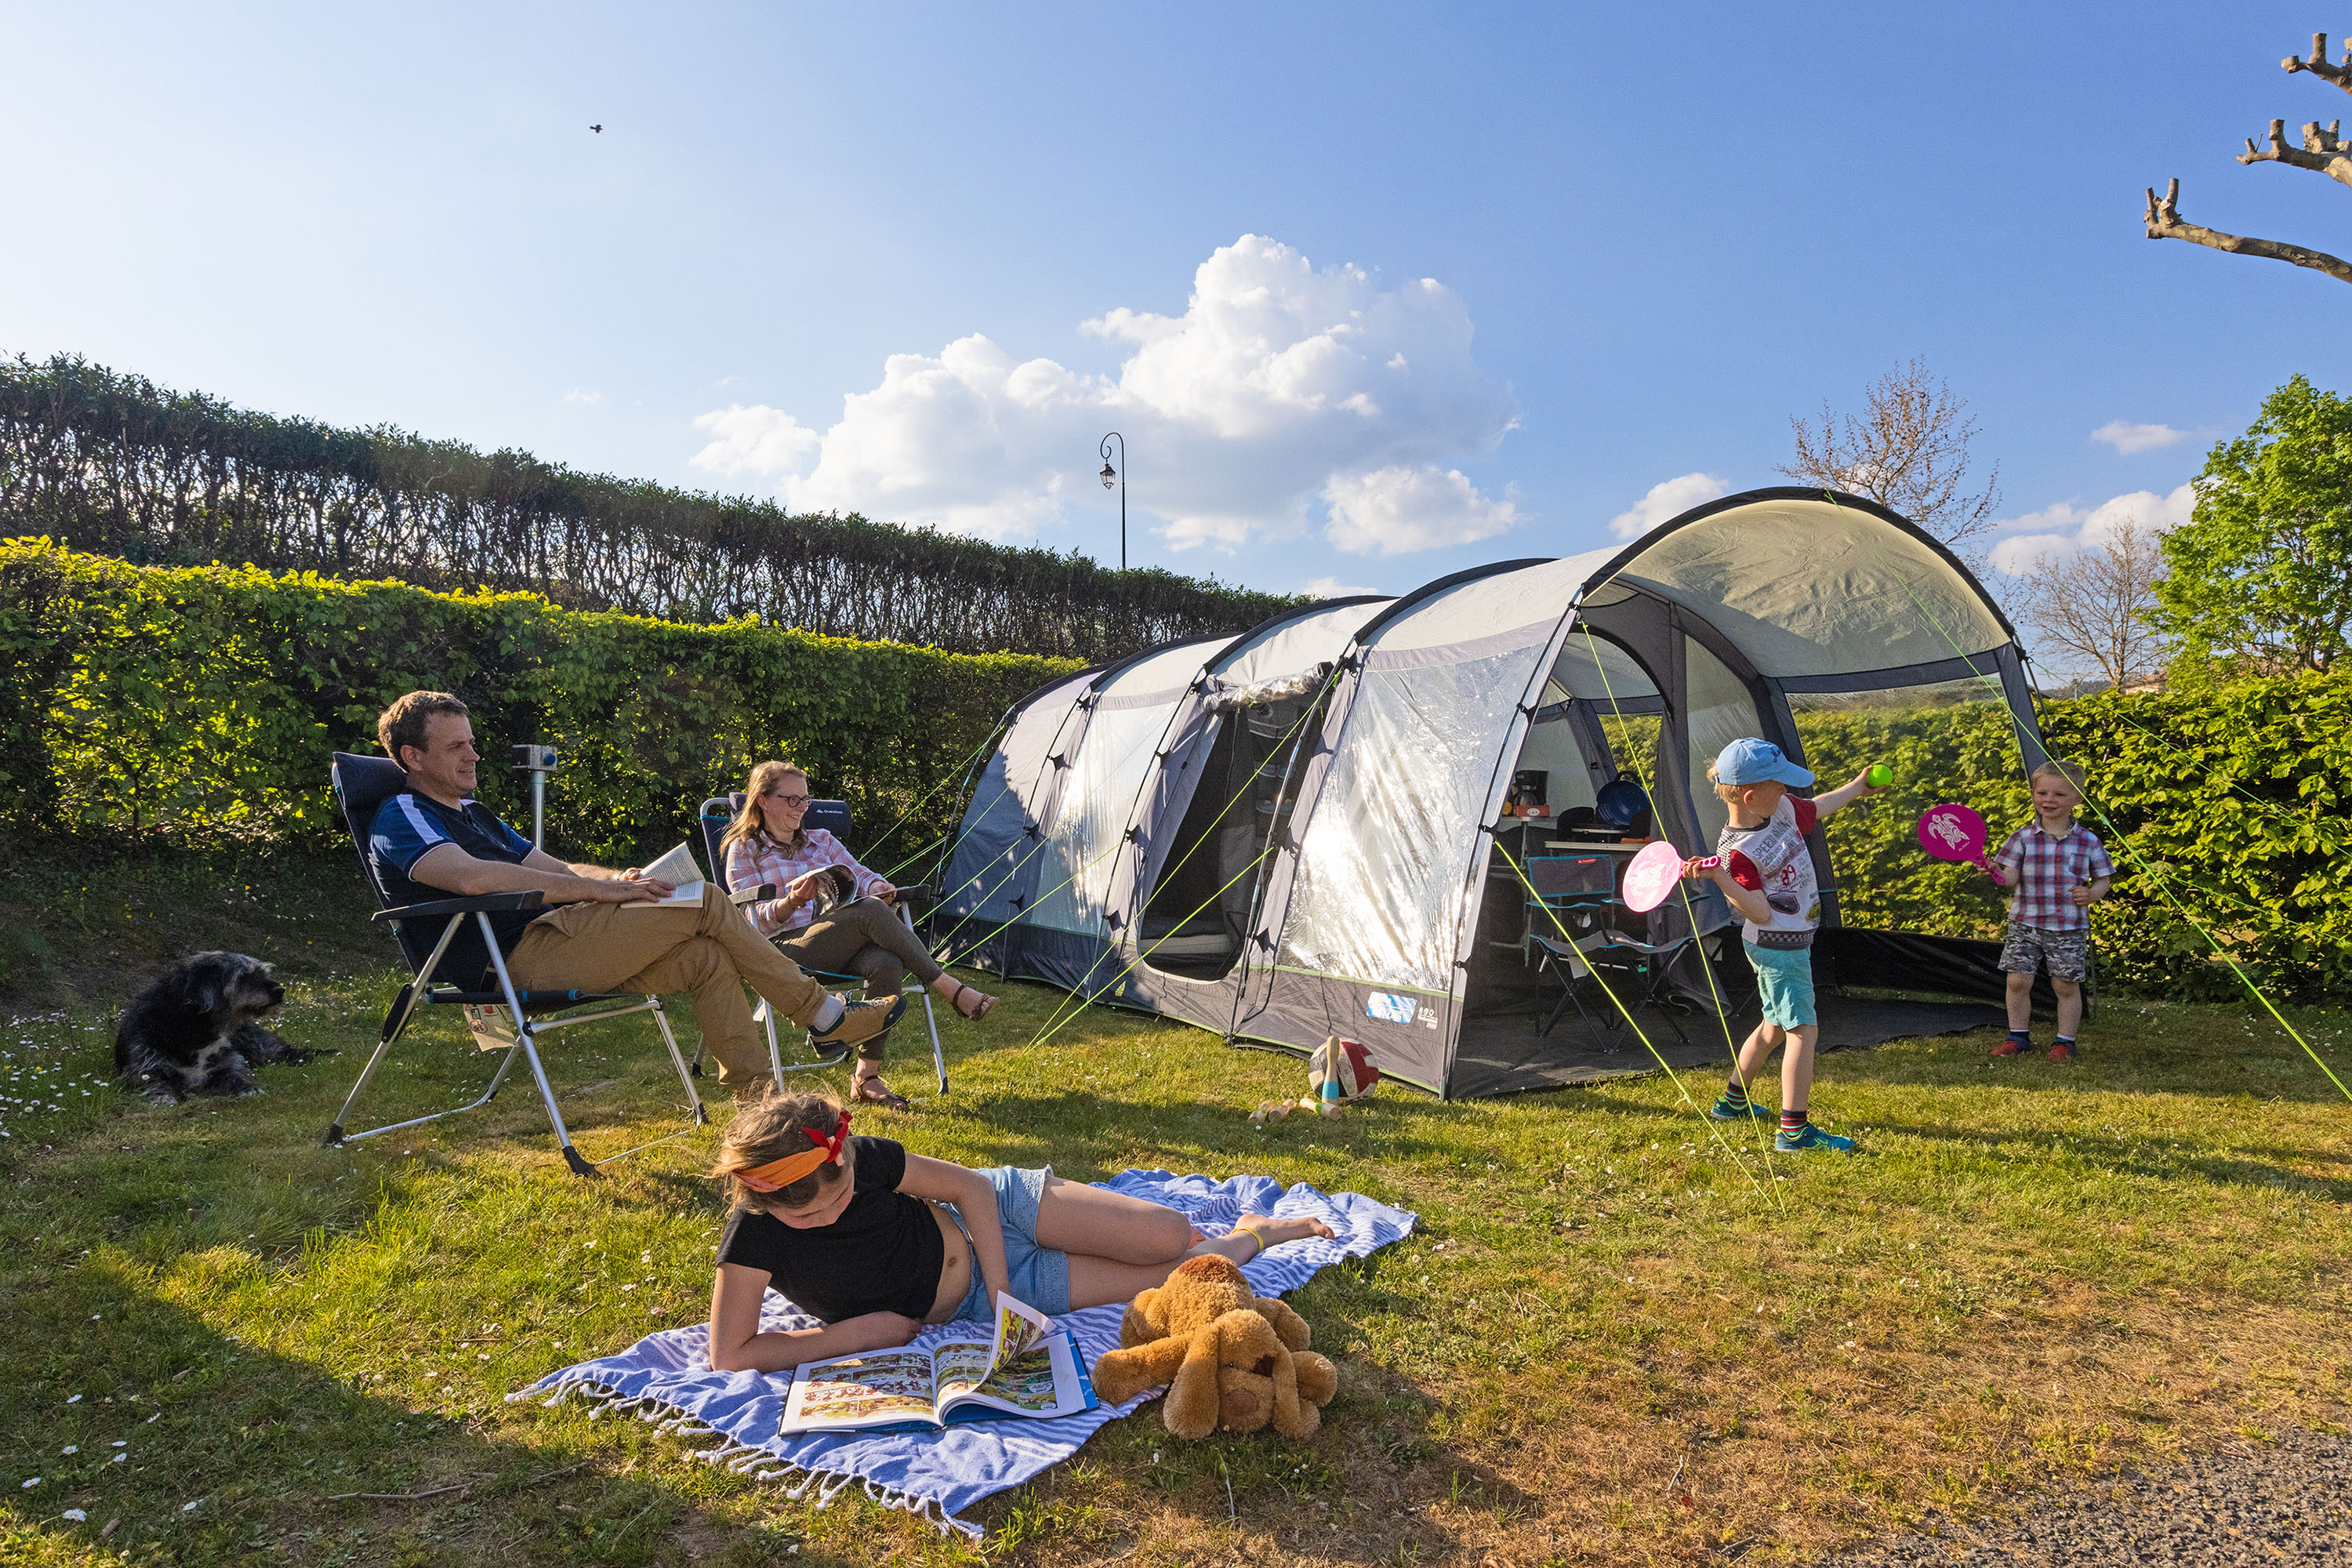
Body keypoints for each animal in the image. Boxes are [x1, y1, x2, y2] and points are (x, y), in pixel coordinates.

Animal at [113, 949, 318, 1109]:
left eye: (262, 973)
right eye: (243, 977)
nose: (280, 990)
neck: (197, 1027)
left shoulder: (230, 1062)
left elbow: (237, 1075)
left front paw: (249, 1088)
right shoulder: (145, 1068)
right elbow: (156, 1082)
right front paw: (163, 1097)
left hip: (254, 1043)